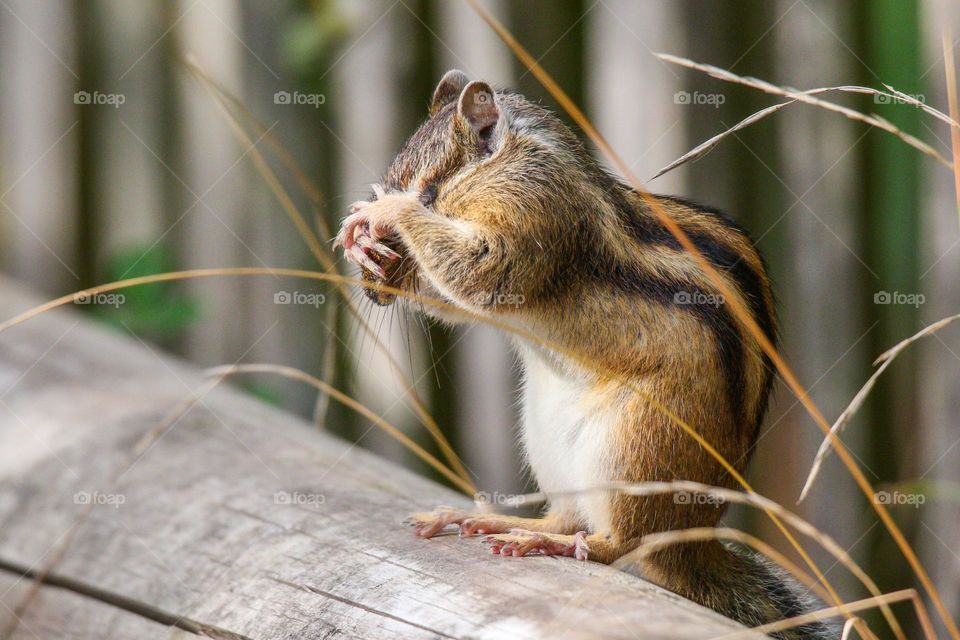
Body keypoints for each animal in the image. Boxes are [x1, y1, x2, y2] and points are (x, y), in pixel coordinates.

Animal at [334, 70, 835, 640]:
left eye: (431, 189)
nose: (373, 292)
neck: (512, 160)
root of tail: (694, 542)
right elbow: (454, 297)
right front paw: (358, 235)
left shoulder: (533, 210)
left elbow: (482, 270)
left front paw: (389, 210)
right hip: (547, 441)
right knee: (568, 516)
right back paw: (492, 519)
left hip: (636, 447)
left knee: (620, 544)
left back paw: (550, 541)